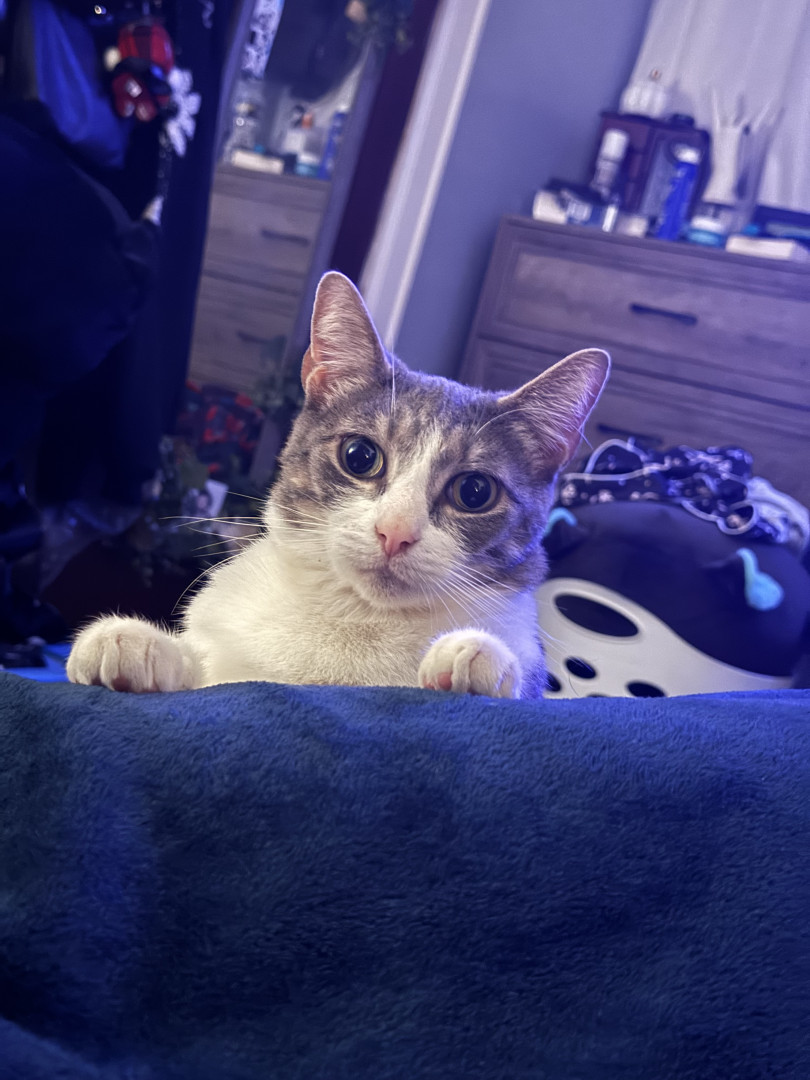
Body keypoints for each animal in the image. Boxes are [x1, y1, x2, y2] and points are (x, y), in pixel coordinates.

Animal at [67, 271, 609, 700]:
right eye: (360, 456)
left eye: (474, 492)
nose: (395, 532)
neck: (357, 618)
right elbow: (206, 671)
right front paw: (138, 644)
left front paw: (476, 655)